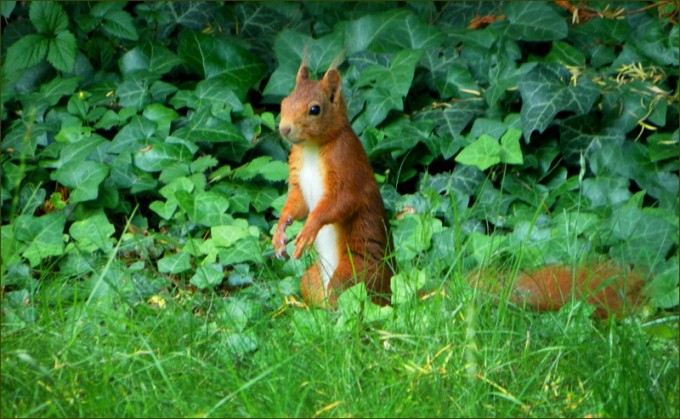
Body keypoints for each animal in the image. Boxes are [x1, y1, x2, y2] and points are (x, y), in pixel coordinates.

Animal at [272, 64, 393, 308]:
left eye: (315, 109)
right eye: (284, 102)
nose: (284, 129)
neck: (311, 149)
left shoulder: (346, 165)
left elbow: (342, 202)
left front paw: (309, 228)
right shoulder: (297, 178)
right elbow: (296, 203)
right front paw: (279, 231)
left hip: (354, 274)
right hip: (310, 280)